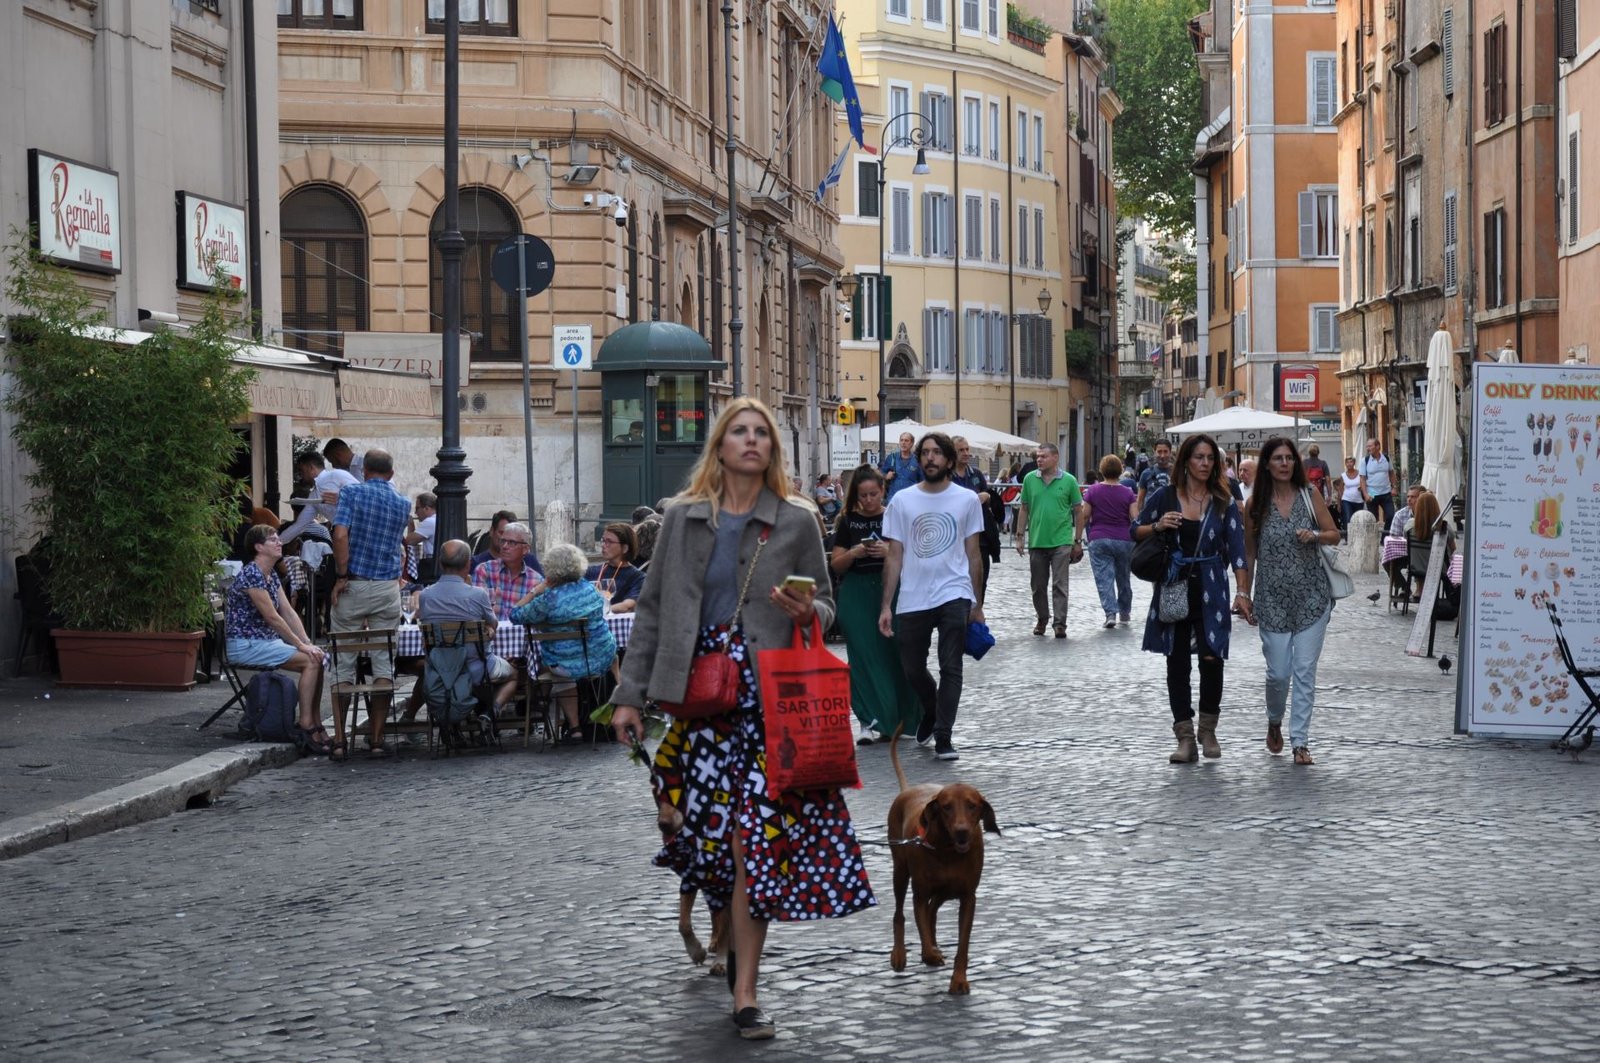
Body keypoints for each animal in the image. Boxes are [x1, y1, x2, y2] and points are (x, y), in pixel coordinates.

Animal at [889, 726, 998, 992]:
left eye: (972, 805)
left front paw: (959, 979)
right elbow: (922, 931)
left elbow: (963, 945)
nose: (962, 832)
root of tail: (907, 790)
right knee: (900, 914)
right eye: (946, 807)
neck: (947, 850)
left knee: (933, 910)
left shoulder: (968, 897)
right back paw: (899, 954)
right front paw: (931, 954)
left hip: (947, 890)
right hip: (900, 872)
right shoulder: (919, 894)